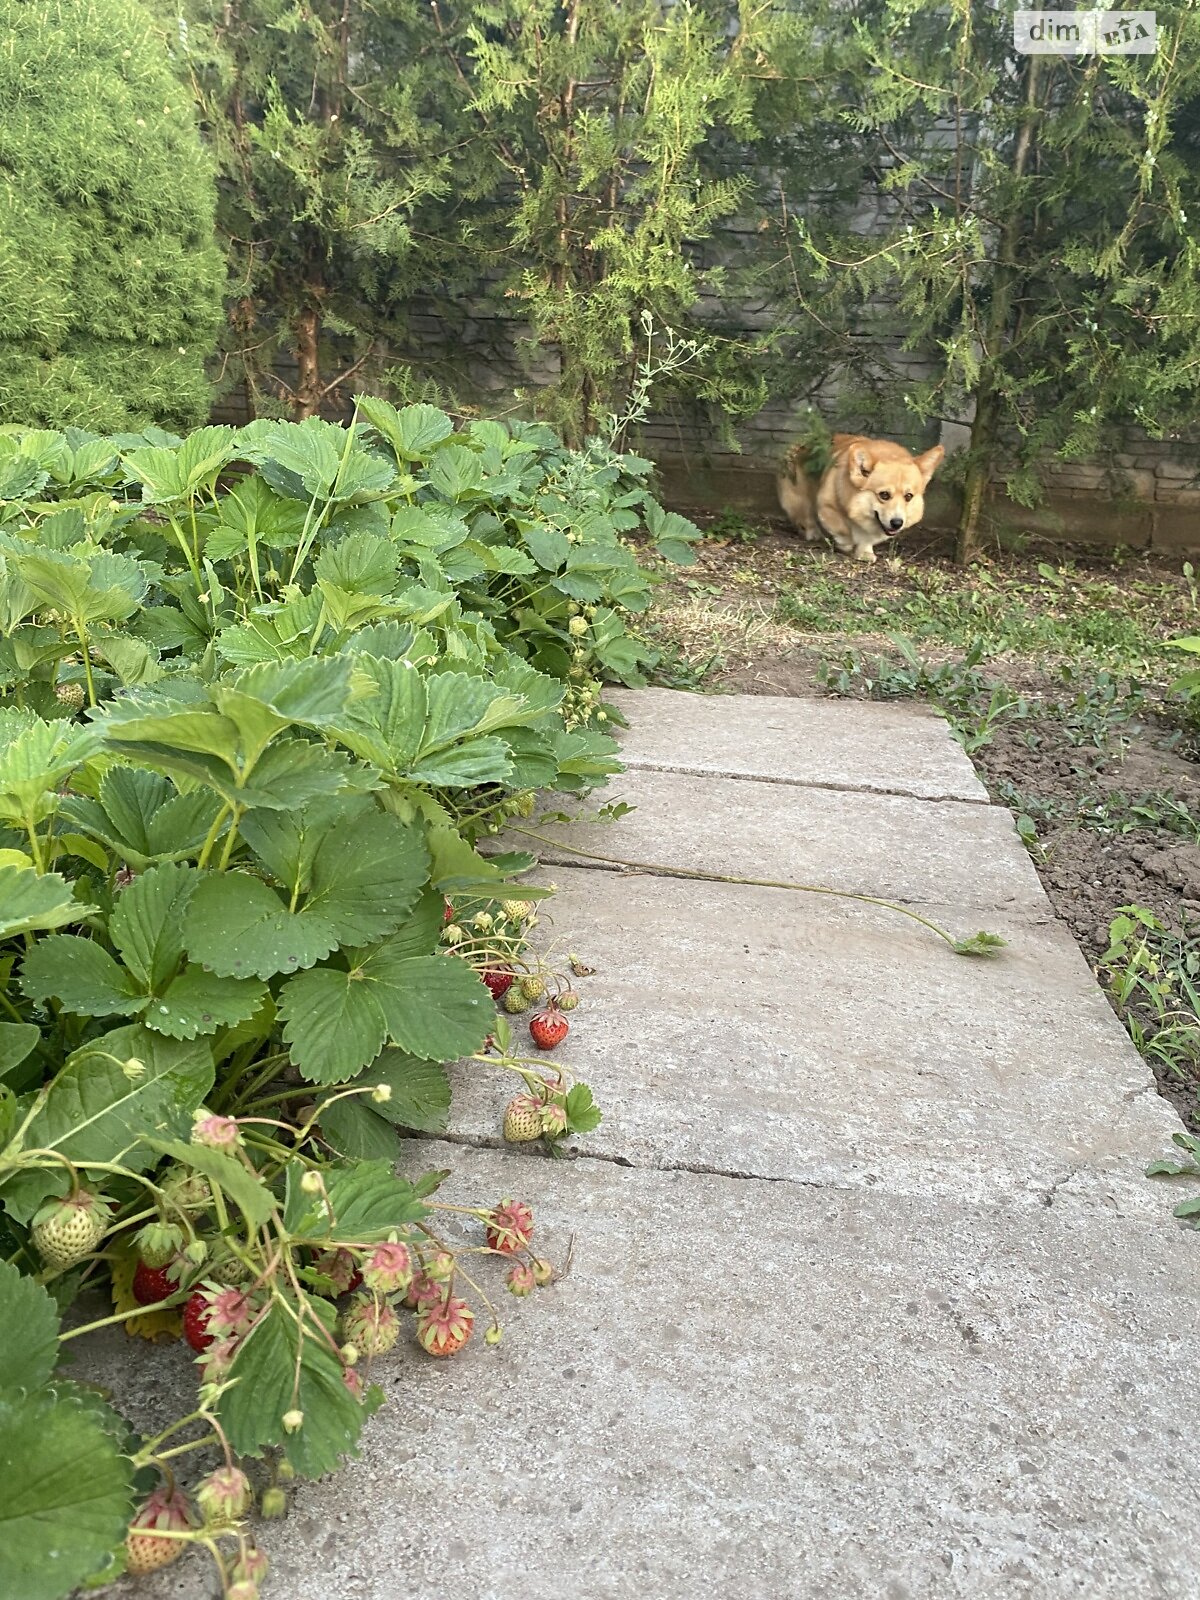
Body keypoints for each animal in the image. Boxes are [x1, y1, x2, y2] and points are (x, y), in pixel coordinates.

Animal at [780, 435, 947, 566]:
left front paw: (864, 552)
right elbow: (841, 528)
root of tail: (802, 444)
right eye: (884, 495)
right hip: (800, 500)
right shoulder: (826, 507)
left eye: (908, 496)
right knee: (805, 517)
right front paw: (846, 544)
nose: (897, 523)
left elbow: (866, 539)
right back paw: (813, 533)